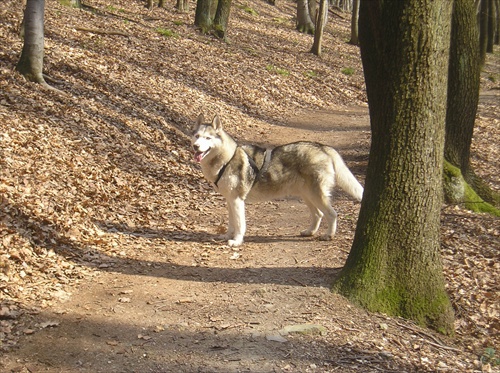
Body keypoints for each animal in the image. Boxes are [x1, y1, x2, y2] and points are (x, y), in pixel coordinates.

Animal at [192, 113, 364, 247]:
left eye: (207, 138)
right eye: (197, 136)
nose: (195, 146)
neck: (226, 159)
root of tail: (323, 147)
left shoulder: (237, 200)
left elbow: (240, 224)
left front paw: (237, 241)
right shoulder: (230, 200)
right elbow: (231, 223)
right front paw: (228, 236)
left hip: (315, 195)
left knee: (331, 214)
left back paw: (328, 235)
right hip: (306, 195)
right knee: (318, 214)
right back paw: (309, 232)